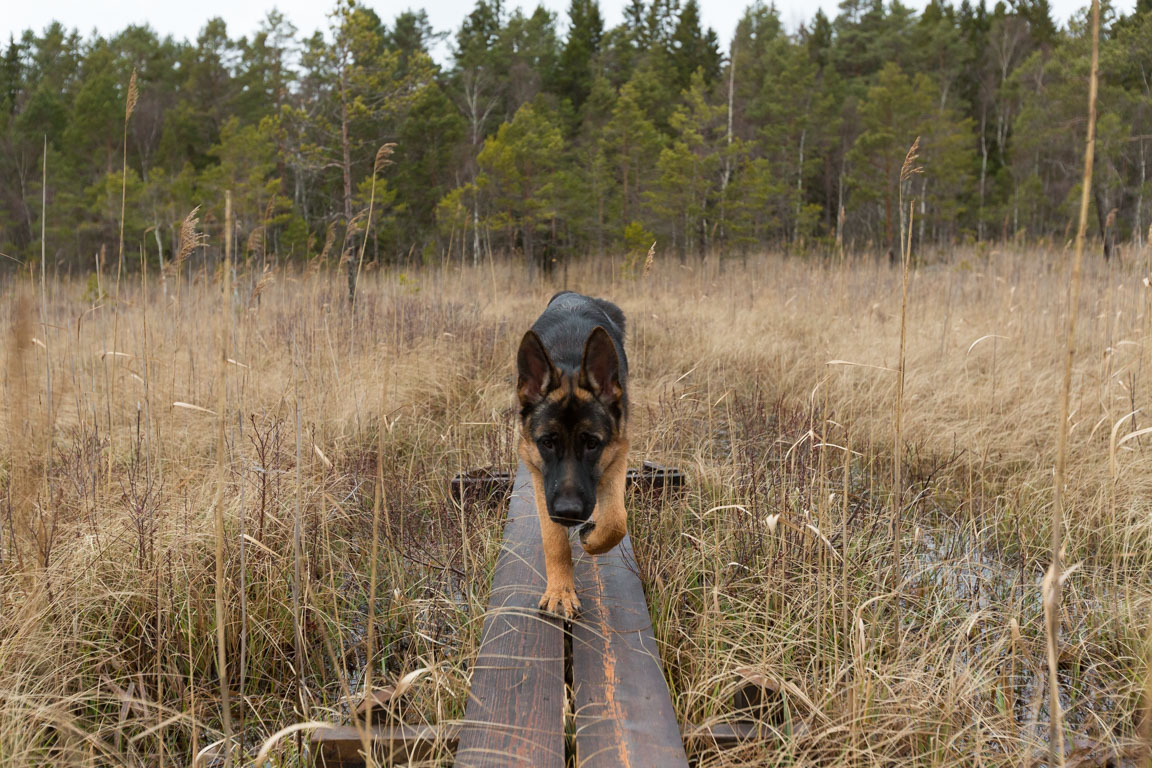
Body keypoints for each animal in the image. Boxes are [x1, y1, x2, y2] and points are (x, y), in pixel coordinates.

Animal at [520, 290, 631, 617]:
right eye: (547, 442)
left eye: (592, 444)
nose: (568, 512)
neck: (570, 362)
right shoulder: (539, 475)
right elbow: (554, 539)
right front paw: (560, 590)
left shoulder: (616, 454)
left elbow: (615, 520)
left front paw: (591, 538)